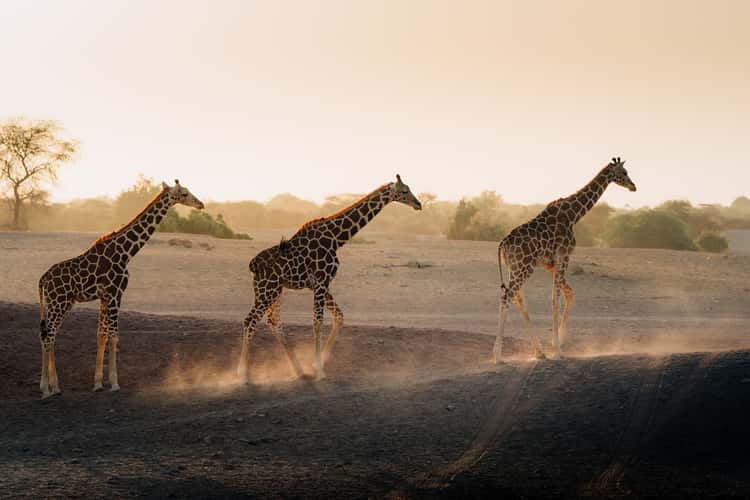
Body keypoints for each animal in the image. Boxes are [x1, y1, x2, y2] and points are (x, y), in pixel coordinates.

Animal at [37, 180, 204, 398]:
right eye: (184, 193)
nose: (201, 204)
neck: (126, 253)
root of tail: (43, 279)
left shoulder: (104, 297)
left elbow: (101, 335)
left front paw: (98, 384)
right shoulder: (116, 293)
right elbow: (114, 336)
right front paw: (115, 384)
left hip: (58, 303)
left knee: (46, 335)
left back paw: (50, 386)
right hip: (59, 302)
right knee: (49, 336)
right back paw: (48, 389)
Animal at [238, 175, 422, 382]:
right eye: (405, 190)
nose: (419, 204)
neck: (336, 238)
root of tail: (253, 264)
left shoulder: (321, 284)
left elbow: (339, 316)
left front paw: (318, 363)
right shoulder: (321, 281)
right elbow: (318, 322)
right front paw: (319, 369)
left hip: (276, 290)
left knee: (274, 322)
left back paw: (298, 370)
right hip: (266, 289)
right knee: (250, 321)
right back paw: (242, 374)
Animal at [494, 157, 636, 363]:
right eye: (624, 172)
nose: (633, 186)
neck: (573, 215)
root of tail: (503, 244)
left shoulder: (550, 263)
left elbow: (568, 294)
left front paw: (558, 343)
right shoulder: (564, 256)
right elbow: (556, 298)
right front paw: (558, 350)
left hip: (514, 267)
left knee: (518, 299)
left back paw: (539, 352)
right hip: (524, 267)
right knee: (507, 297)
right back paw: (498, 355)